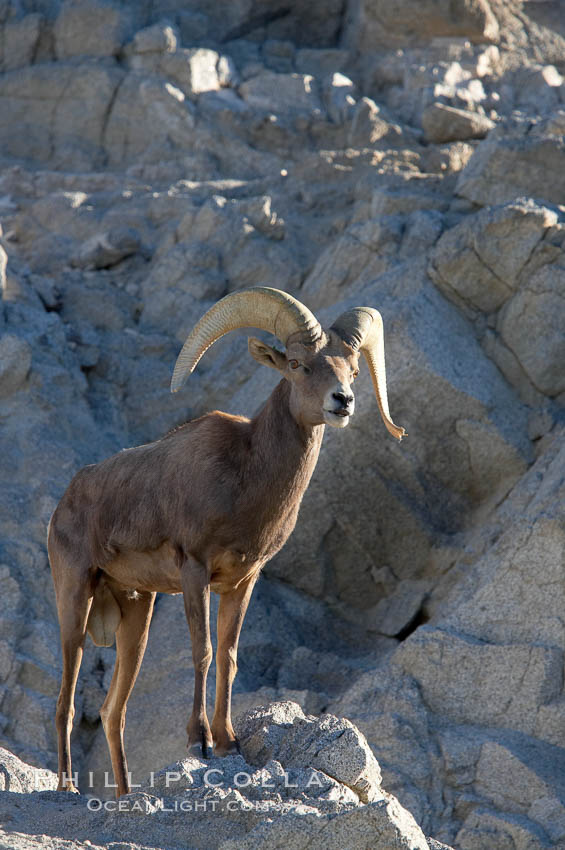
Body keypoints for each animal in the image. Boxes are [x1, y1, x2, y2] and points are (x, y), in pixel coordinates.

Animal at [47, 284, 400, 796]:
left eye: (352, 370)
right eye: (298, 364)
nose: (343, 401)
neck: (244, 476)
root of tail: (65, 501)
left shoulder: (242, 581)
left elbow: (230, 657)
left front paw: (229, 740)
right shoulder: (195, 571)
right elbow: (204, 651)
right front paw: (200, 742)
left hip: (137, 613)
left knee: (114, 712)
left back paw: (126, 795)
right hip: (75, 600)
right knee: (67, 701)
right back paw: (68, 788)